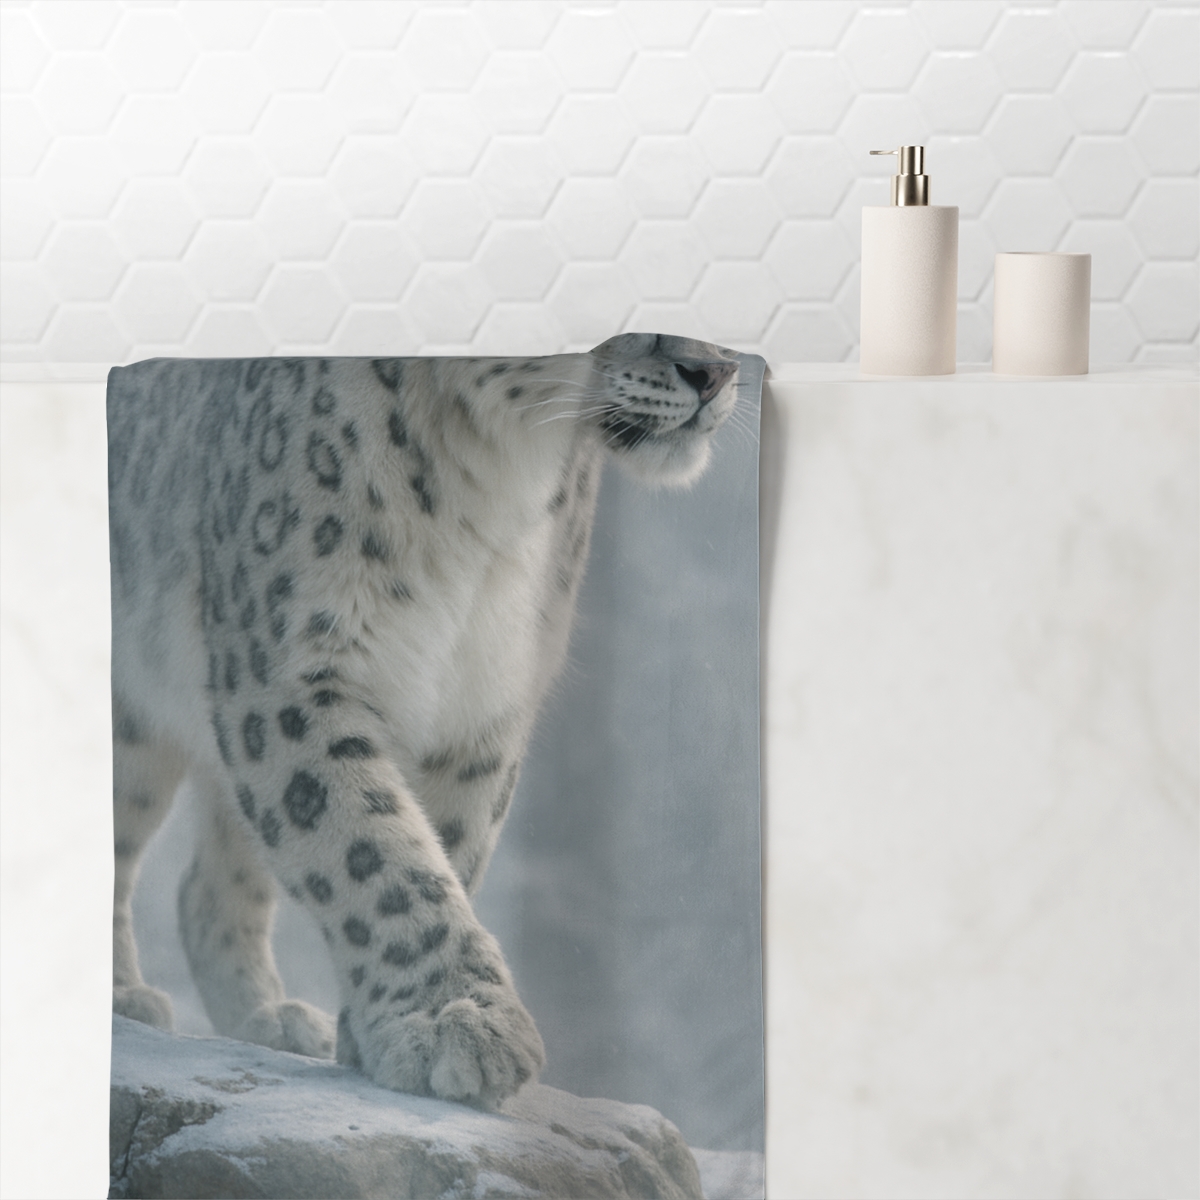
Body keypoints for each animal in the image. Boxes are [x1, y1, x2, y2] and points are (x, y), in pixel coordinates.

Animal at [107, 332, 740, 1110]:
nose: (715, 372)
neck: (496, 477)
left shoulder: (486, 700)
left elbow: (442, 843)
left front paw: (402, 1026)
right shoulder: (291, 668)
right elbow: (369, 846)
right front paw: (451, 1023)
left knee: (208, 880)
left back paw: (272, 1018)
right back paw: (123, 996)